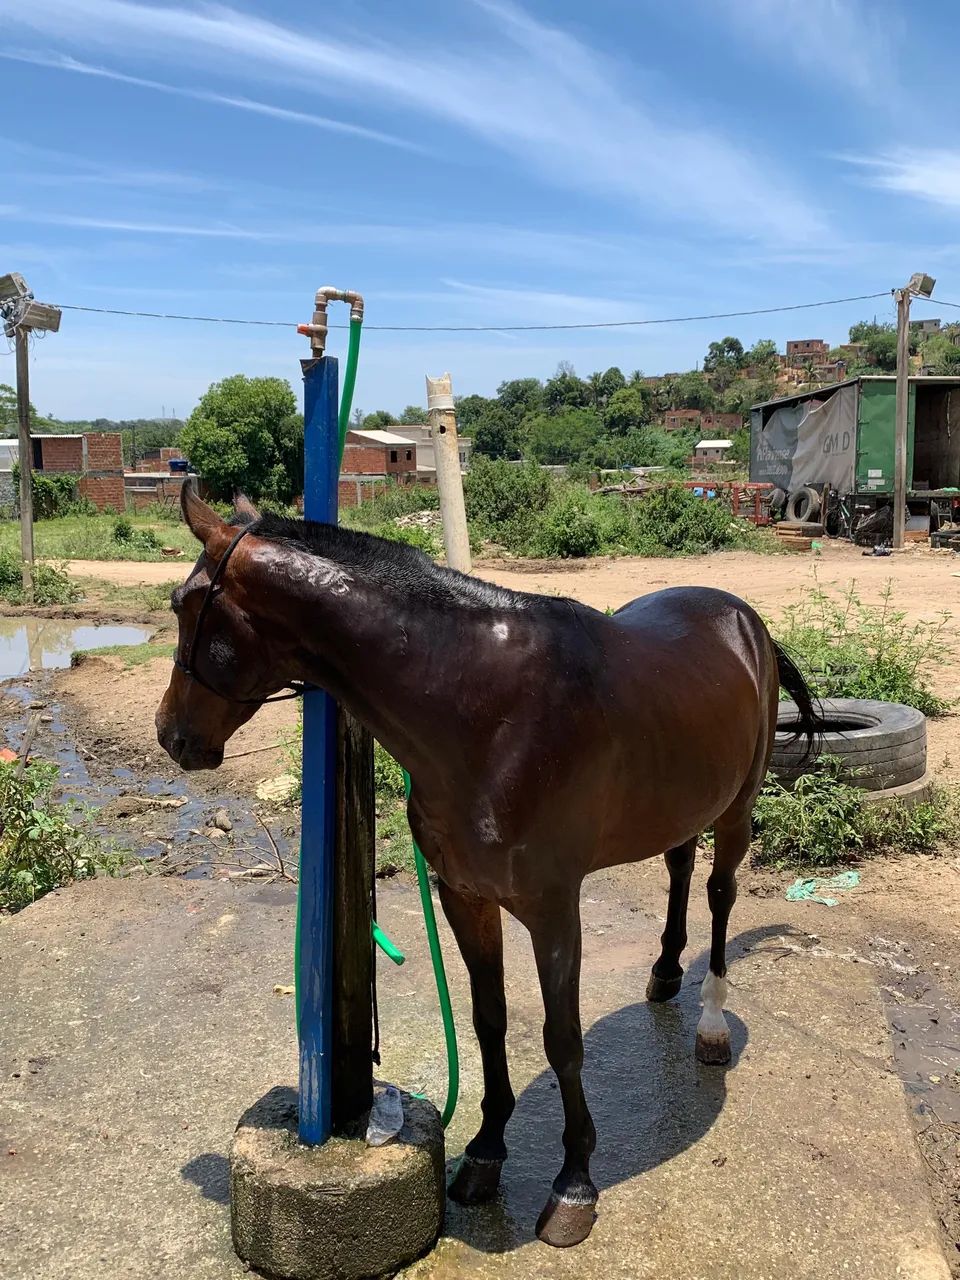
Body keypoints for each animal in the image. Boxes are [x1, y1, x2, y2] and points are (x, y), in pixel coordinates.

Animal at [157, 485, 819, 1249]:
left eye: (183, 604)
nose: (171, 736)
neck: (483, 710)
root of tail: (742, 619)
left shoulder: (554, 910)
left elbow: (562, 1041)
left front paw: (574, 1182)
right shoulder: (465, 897)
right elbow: (488, 1020)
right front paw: (484, 1152)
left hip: (738, 809)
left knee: (718, 892)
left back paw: (710, 1020)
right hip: (681, 801)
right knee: (681, 868)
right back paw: (662, 973)